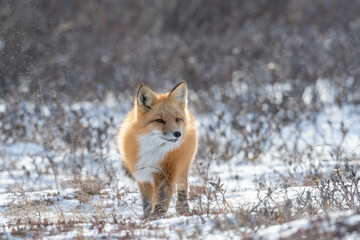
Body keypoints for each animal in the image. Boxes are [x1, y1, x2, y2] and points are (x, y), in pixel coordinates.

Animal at [116, 81, 198, 218]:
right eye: (159, 120)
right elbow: (147, 202)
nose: (177, 134)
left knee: (183, 186)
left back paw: (183, 209)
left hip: (184, 165)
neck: (152, 151)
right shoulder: (142, 175)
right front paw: (147, 217)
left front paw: (157, 218)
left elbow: (161, 200)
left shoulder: (166, 173)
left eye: (177, 119)